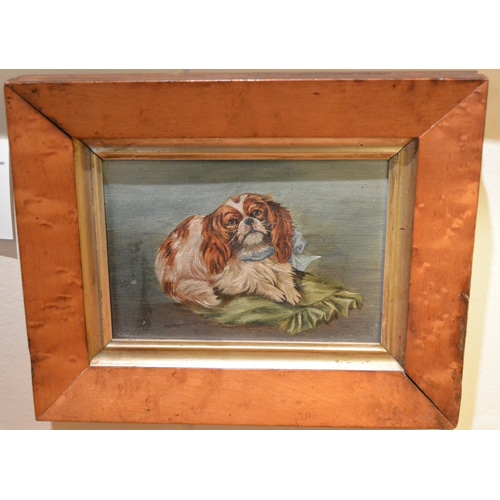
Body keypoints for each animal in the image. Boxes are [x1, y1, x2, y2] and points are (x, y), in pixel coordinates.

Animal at [155, 193, 302, 308]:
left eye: (256, 213)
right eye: (232, 222)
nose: (249, 220)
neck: (254, 250)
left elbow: (283, 276)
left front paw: (290, 291)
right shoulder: (229, 280)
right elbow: (256, 281)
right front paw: (274, 291)